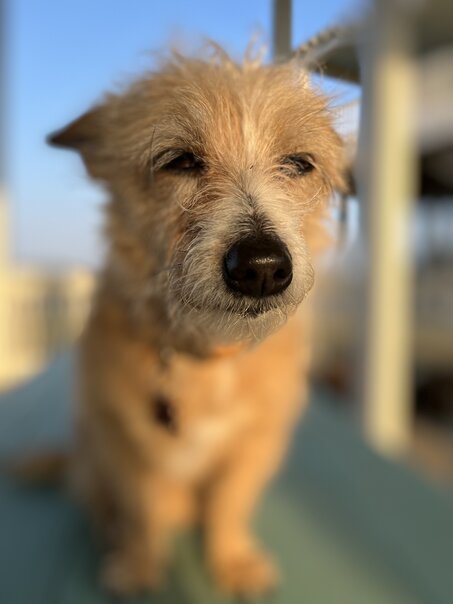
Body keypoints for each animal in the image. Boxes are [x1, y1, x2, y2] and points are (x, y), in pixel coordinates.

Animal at [48, 44, 344, 596]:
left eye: (299, 164)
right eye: (179, 160)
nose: (262, 267)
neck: (209, 356)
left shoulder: (256, 443)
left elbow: (230, 502)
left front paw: (230, 560)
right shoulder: (122, 443)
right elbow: (141, 508)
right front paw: (141, 563)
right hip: (90, 453)